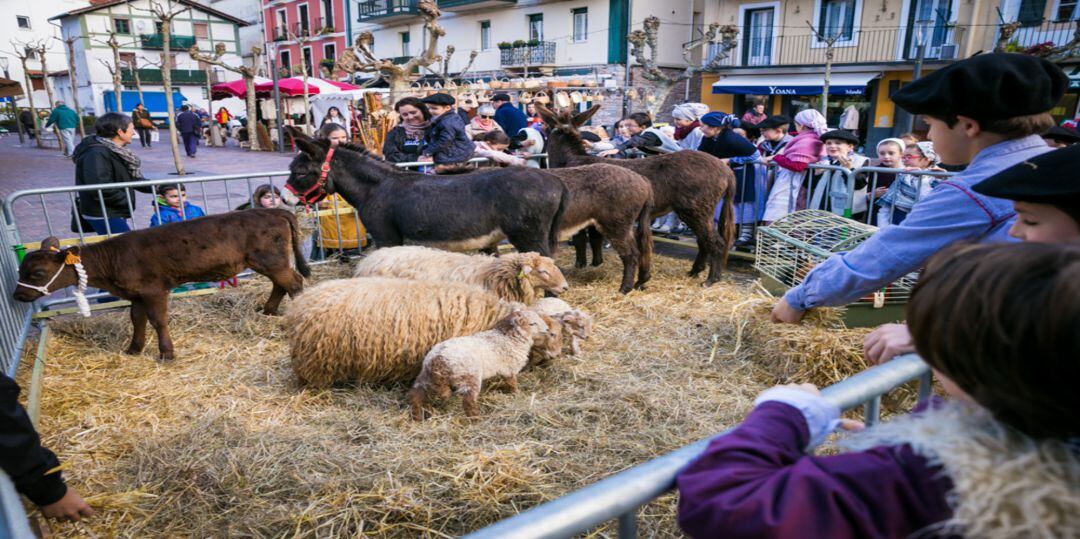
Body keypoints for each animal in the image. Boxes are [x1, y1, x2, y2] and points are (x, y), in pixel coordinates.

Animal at [13, 208, 308, 360]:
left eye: (37, 273)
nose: (17, 295)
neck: (114, 260)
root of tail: (272, 209)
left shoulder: (153, 290)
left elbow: (158, 320)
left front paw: (166, 352)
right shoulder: (135, 295)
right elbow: (137, 319)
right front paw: (134, 349)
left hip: (270, 259)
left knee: (294, 282)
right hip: (268, 261)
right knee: (281, 284)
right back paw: (268, 310)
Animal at [406, 311, 557, 419]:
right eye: (532, 324)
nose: (547, 329)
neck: (507, 337)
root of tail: (437, 360)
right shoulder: (509, 368)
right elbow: (512, 383)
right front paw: (516, 393)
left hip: (425, 377)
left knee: (415, 395)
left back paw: (416, 416)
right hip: (469, 377)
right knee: (468, 401)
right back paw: (476, 419)